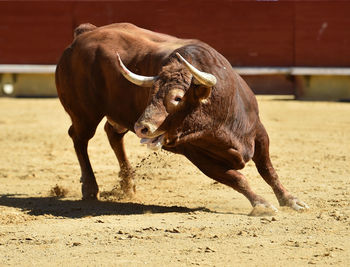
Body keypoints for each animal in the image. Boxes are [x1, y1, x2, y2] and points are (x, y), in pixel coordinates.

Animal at [55, 22, 308, 214]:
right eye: (151, 93)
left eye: (177, 98)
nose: (141, 127)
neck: (219, 121)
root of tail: (83, 34)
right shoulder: (198, 156)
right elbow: (237, 178)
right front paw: (262, 205)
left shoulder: (259, 133)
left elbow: (268, 170)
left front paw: (291, 200)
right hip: (85, 114)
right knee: (79, 138)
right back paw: (90, 188)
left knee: (112, 134)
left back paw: (128, 185)